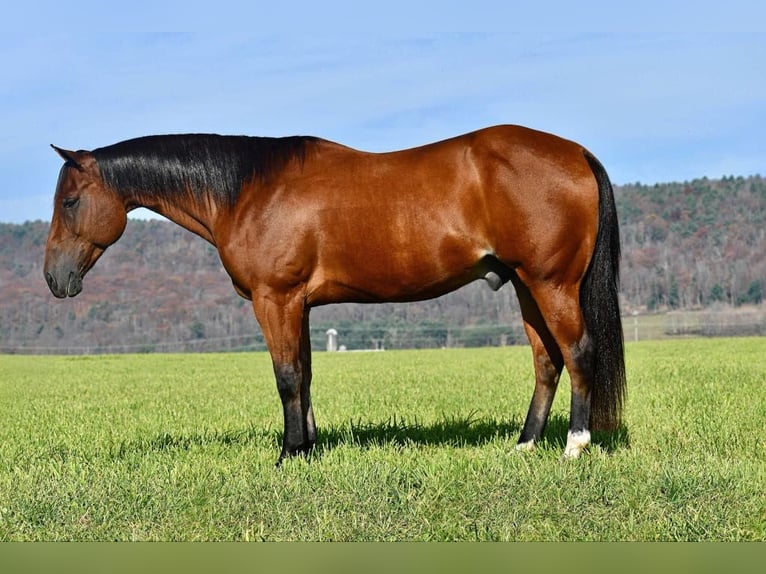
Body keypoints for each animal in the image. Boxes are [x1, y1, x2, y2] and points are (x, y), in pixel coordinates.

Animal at [45, 125, 628, 464]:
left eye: (70, 201)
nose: (55, 279)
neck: (250, 190)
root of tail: (576, 152)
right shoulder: (297, 304)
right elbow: (303, 374)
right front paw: (308, 448)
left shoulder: (275, 299)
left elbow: (285, 376)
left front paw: (288, 455)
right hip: (526, 285)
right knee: (546, 360)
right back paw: (524, 445)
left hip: (551, 284)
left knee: (578, 353)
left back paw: (574, 447)